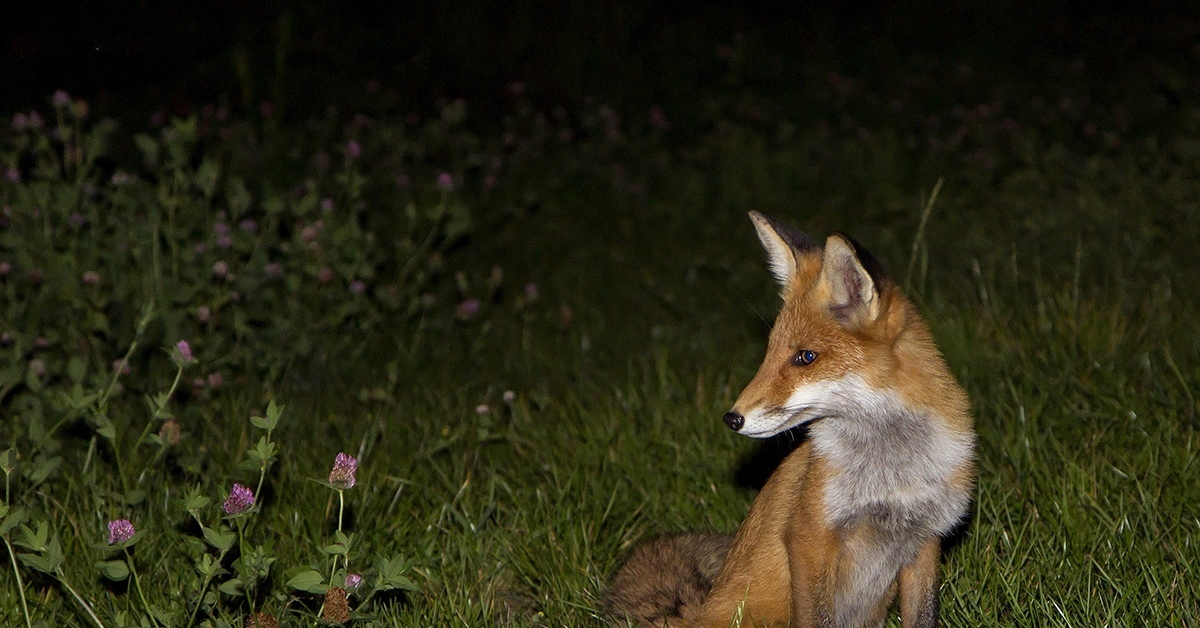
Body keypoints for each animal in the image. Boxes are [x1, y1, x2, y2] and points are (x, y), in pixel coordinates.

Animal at [604, 213, 979, 624]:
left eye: (806, 357)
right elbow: (818, 617)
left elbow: (923, 616)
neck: (891, 475)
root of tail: (697, 615)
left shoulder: (925, 539)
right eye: (769, 352)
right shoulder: (808, 536)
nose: (732, 418)